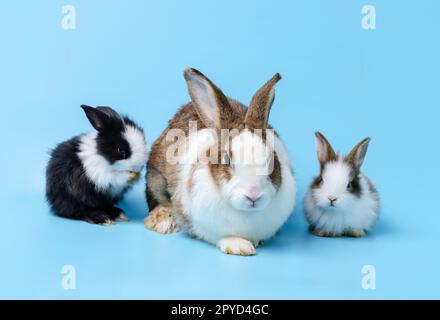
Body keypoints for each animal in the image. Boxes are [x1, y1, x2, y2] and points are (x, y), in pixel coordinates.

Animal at [144, 67, 296, 255]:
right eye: (227, 159)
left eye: (271, 160)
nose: (254, 195)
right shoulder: (197, 222)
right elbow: (217, 236)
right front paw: (239, 246)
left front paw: (254, 242)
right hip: (155, 178)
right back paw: (163, 222)